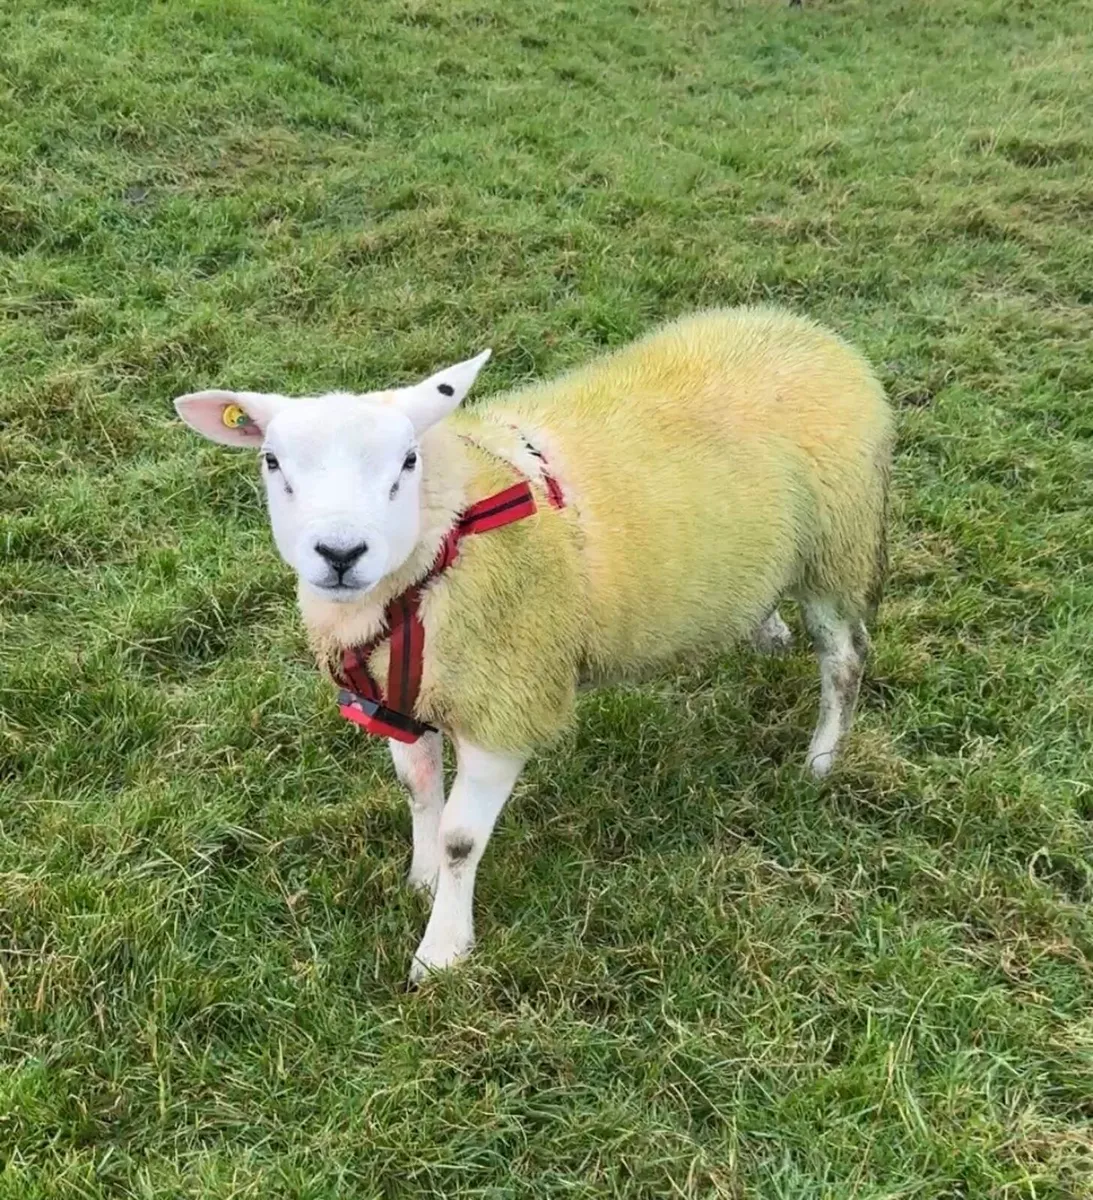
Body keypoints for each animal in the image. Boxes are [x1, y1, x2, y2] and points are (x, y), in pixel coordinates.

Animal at [175, 306, 894, 984]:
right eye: (272, 461)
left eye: (407, 461)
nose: (340, 552)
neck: (443, 546)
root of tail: (808, 331)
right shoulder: (398, 704)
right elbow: (418, 794)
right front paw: (422, 880)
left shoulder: (506, 704)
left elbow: (462, 838)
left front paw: (442, 951)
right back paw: (765, 632)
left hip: (837, 546)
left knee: (845, 657)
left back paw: (821, 759)